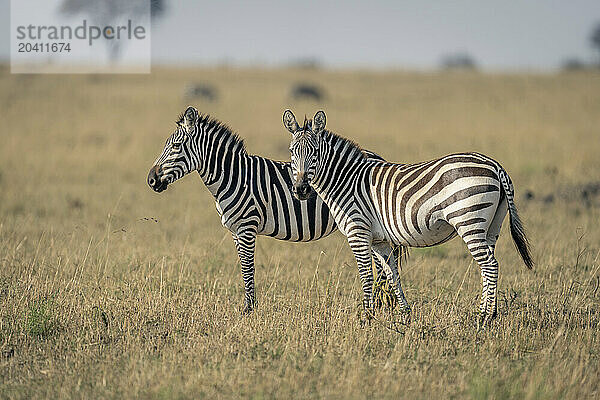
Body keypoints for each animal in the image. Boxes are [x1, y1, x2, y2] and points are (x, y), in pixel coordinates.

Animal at [148, 106, 396, 316]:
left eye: (176, 147)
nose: (150, 180)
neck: (234, 178)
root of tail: (379, 157)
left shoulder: (246, 227)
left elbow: (248, 268)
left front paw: (249, 310)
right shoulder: (235, 231)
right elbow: (243, 267)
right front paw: (249, 307)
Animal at [284, 109, 532, 328]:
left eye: (315, 152)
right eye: (292, 152)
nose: (301, 189)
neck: (346, 180)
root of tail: (495, 165)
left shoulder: (358, 232)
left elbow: (366, 276)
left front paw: (366, 319)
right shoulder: (380, 240)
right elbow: (392, 275)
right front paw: (405, 315)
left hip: (469, 220)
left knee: (490, 264)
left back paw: (484, 318)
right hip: (491, 226)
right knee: (487, 266)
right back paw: (487, 314)